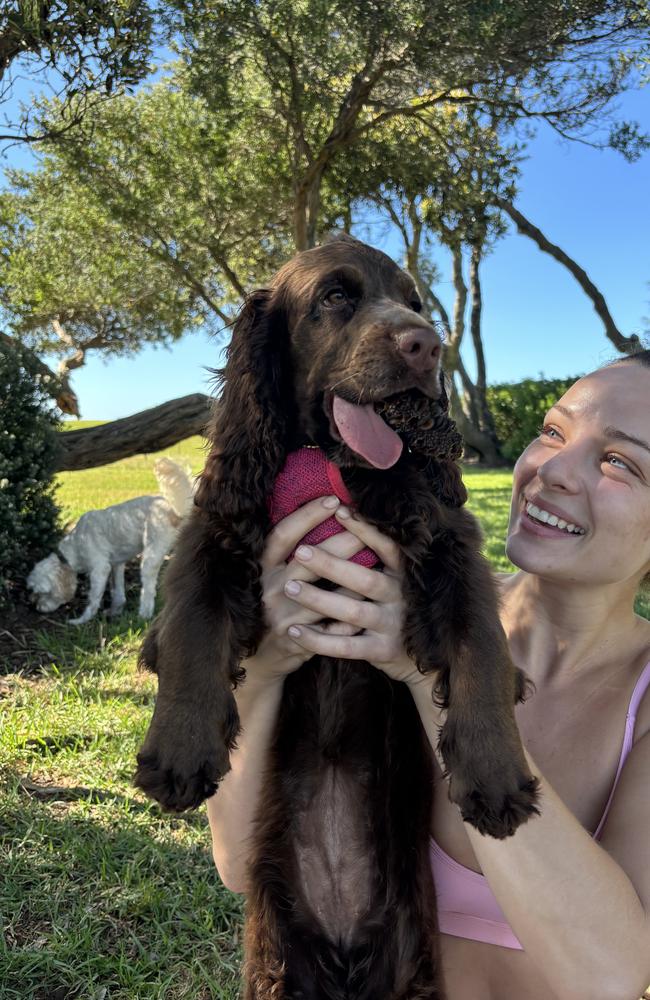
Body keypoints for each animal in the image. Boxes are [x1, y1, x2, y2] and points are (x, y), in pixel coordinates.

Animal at [27, 458, 194, 624]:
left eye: (43, 593)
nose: (36, 607)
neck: (76, 543)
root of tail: (176, 511)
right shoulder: (117, 565)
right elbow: (117, 591)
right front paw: (115, 611)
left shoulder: (100, 569)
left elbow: (93, 599)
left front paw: (81, 620)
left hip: (150, 558)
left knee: (148, 591)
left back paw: (143, 616)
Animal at [135, 236, 536, 1000]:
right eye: (336, 297)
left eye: (414, 300)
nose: (427, 345)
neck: (331, 463)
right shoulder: (217, 530)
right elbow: (191, 628)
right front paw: (177, 751)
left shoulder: (447, 537)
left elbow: (483, 646)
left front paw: (497, 775)